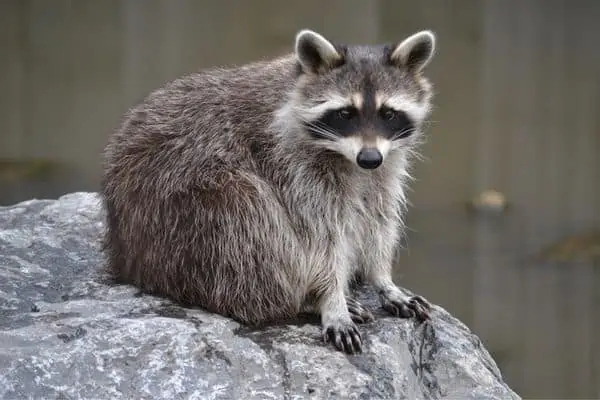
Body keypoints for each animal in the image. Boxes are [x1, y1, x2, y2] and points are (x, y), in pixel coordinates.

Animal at [102, 28, 436, 354]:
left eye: (388, 113)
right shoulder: (291, 165)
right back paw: (297, 299)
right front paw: (330, 299)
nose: (369, 158)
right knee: (252, 223)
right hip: (178, 212)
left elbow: (378, 217)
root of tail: (125, 257)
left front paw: (382, 279)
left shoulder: (385, 164)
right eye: (345, 113)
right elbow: (319, 240)